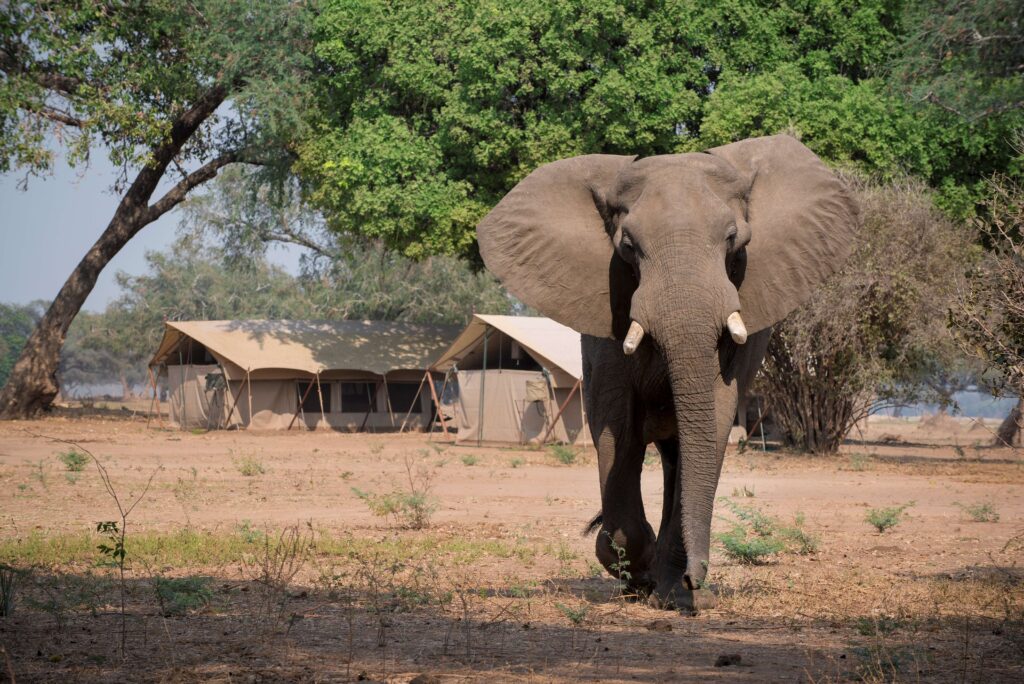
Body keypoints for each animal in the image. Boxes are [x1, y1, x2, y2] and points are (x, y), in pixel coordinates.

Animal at [476, 135, 860, 610]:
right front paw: (635, 571)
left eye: (733, 241)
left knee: (683, 457)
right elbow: (615, 424)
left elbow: (715, 413)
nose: (699, 581)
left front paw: (674, 592)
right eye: (627, 247)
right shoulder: (609, 311)